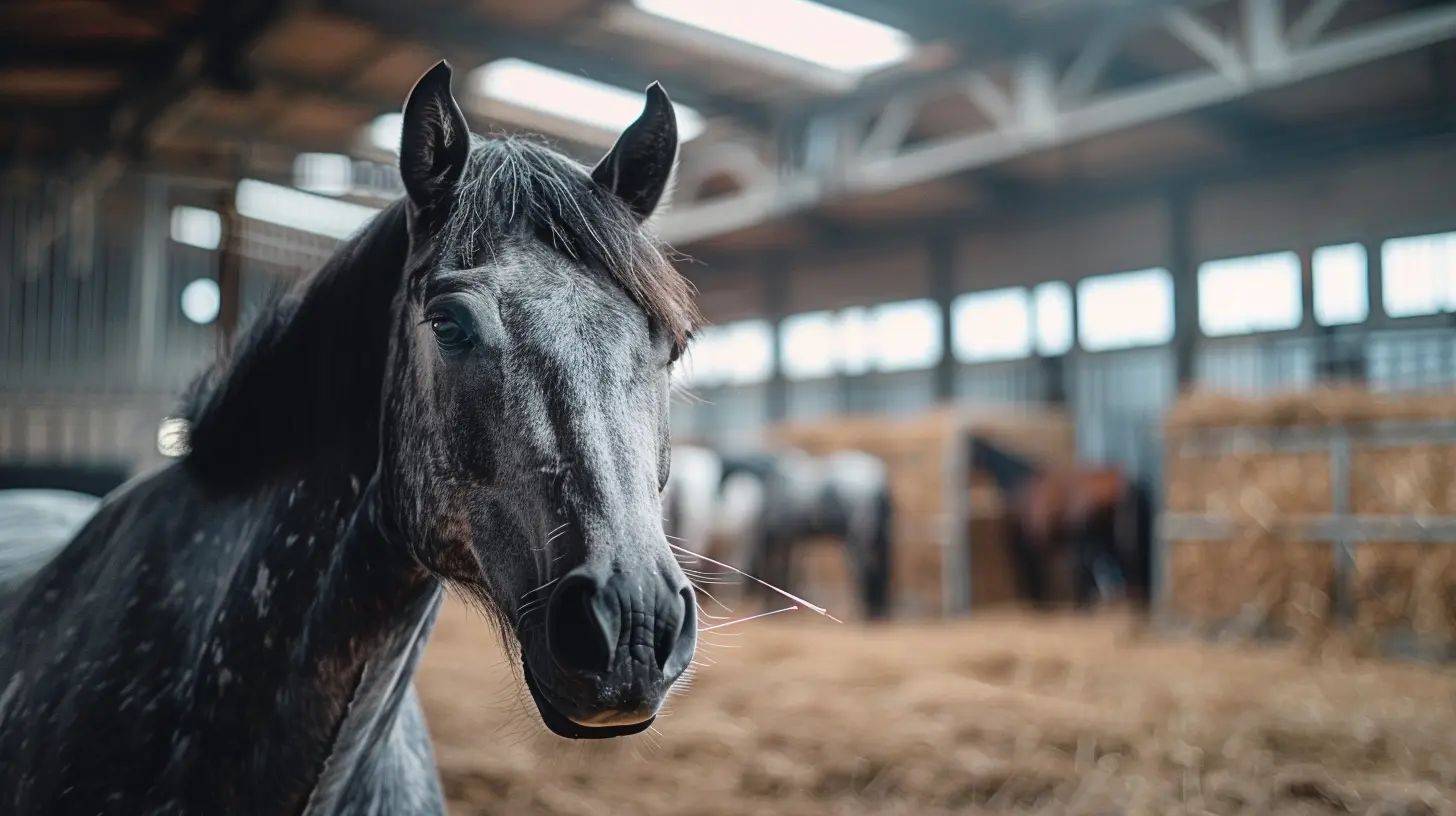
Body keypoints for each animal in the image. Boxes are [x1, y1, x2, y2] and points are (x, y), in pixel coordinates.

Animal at [663, 442, 891, 620]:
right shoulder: (784, 539)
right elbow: (785, 568)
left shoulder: (775, 538)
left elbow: (777, 569)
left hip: (857, 539)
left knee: (866, 569)